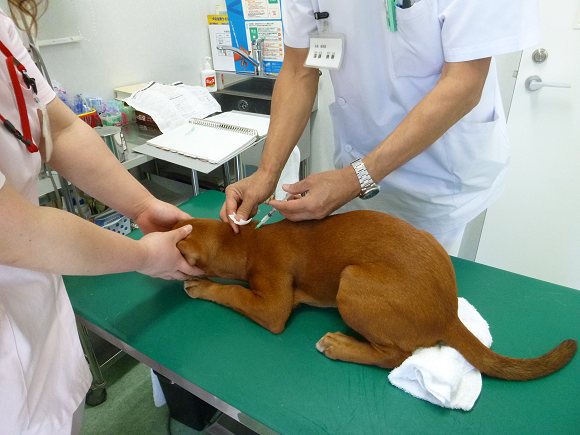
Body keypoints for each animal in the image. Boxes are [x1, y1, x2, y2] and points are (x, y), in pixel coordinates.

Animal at [176, 211, 576, 382]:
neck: (248, 242)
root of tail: (448, 312)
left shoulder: (272, 306)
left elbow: (233, 292)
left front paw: (202, 286)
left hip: (351, 282)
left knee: (395, 357)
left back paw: (341, 346)